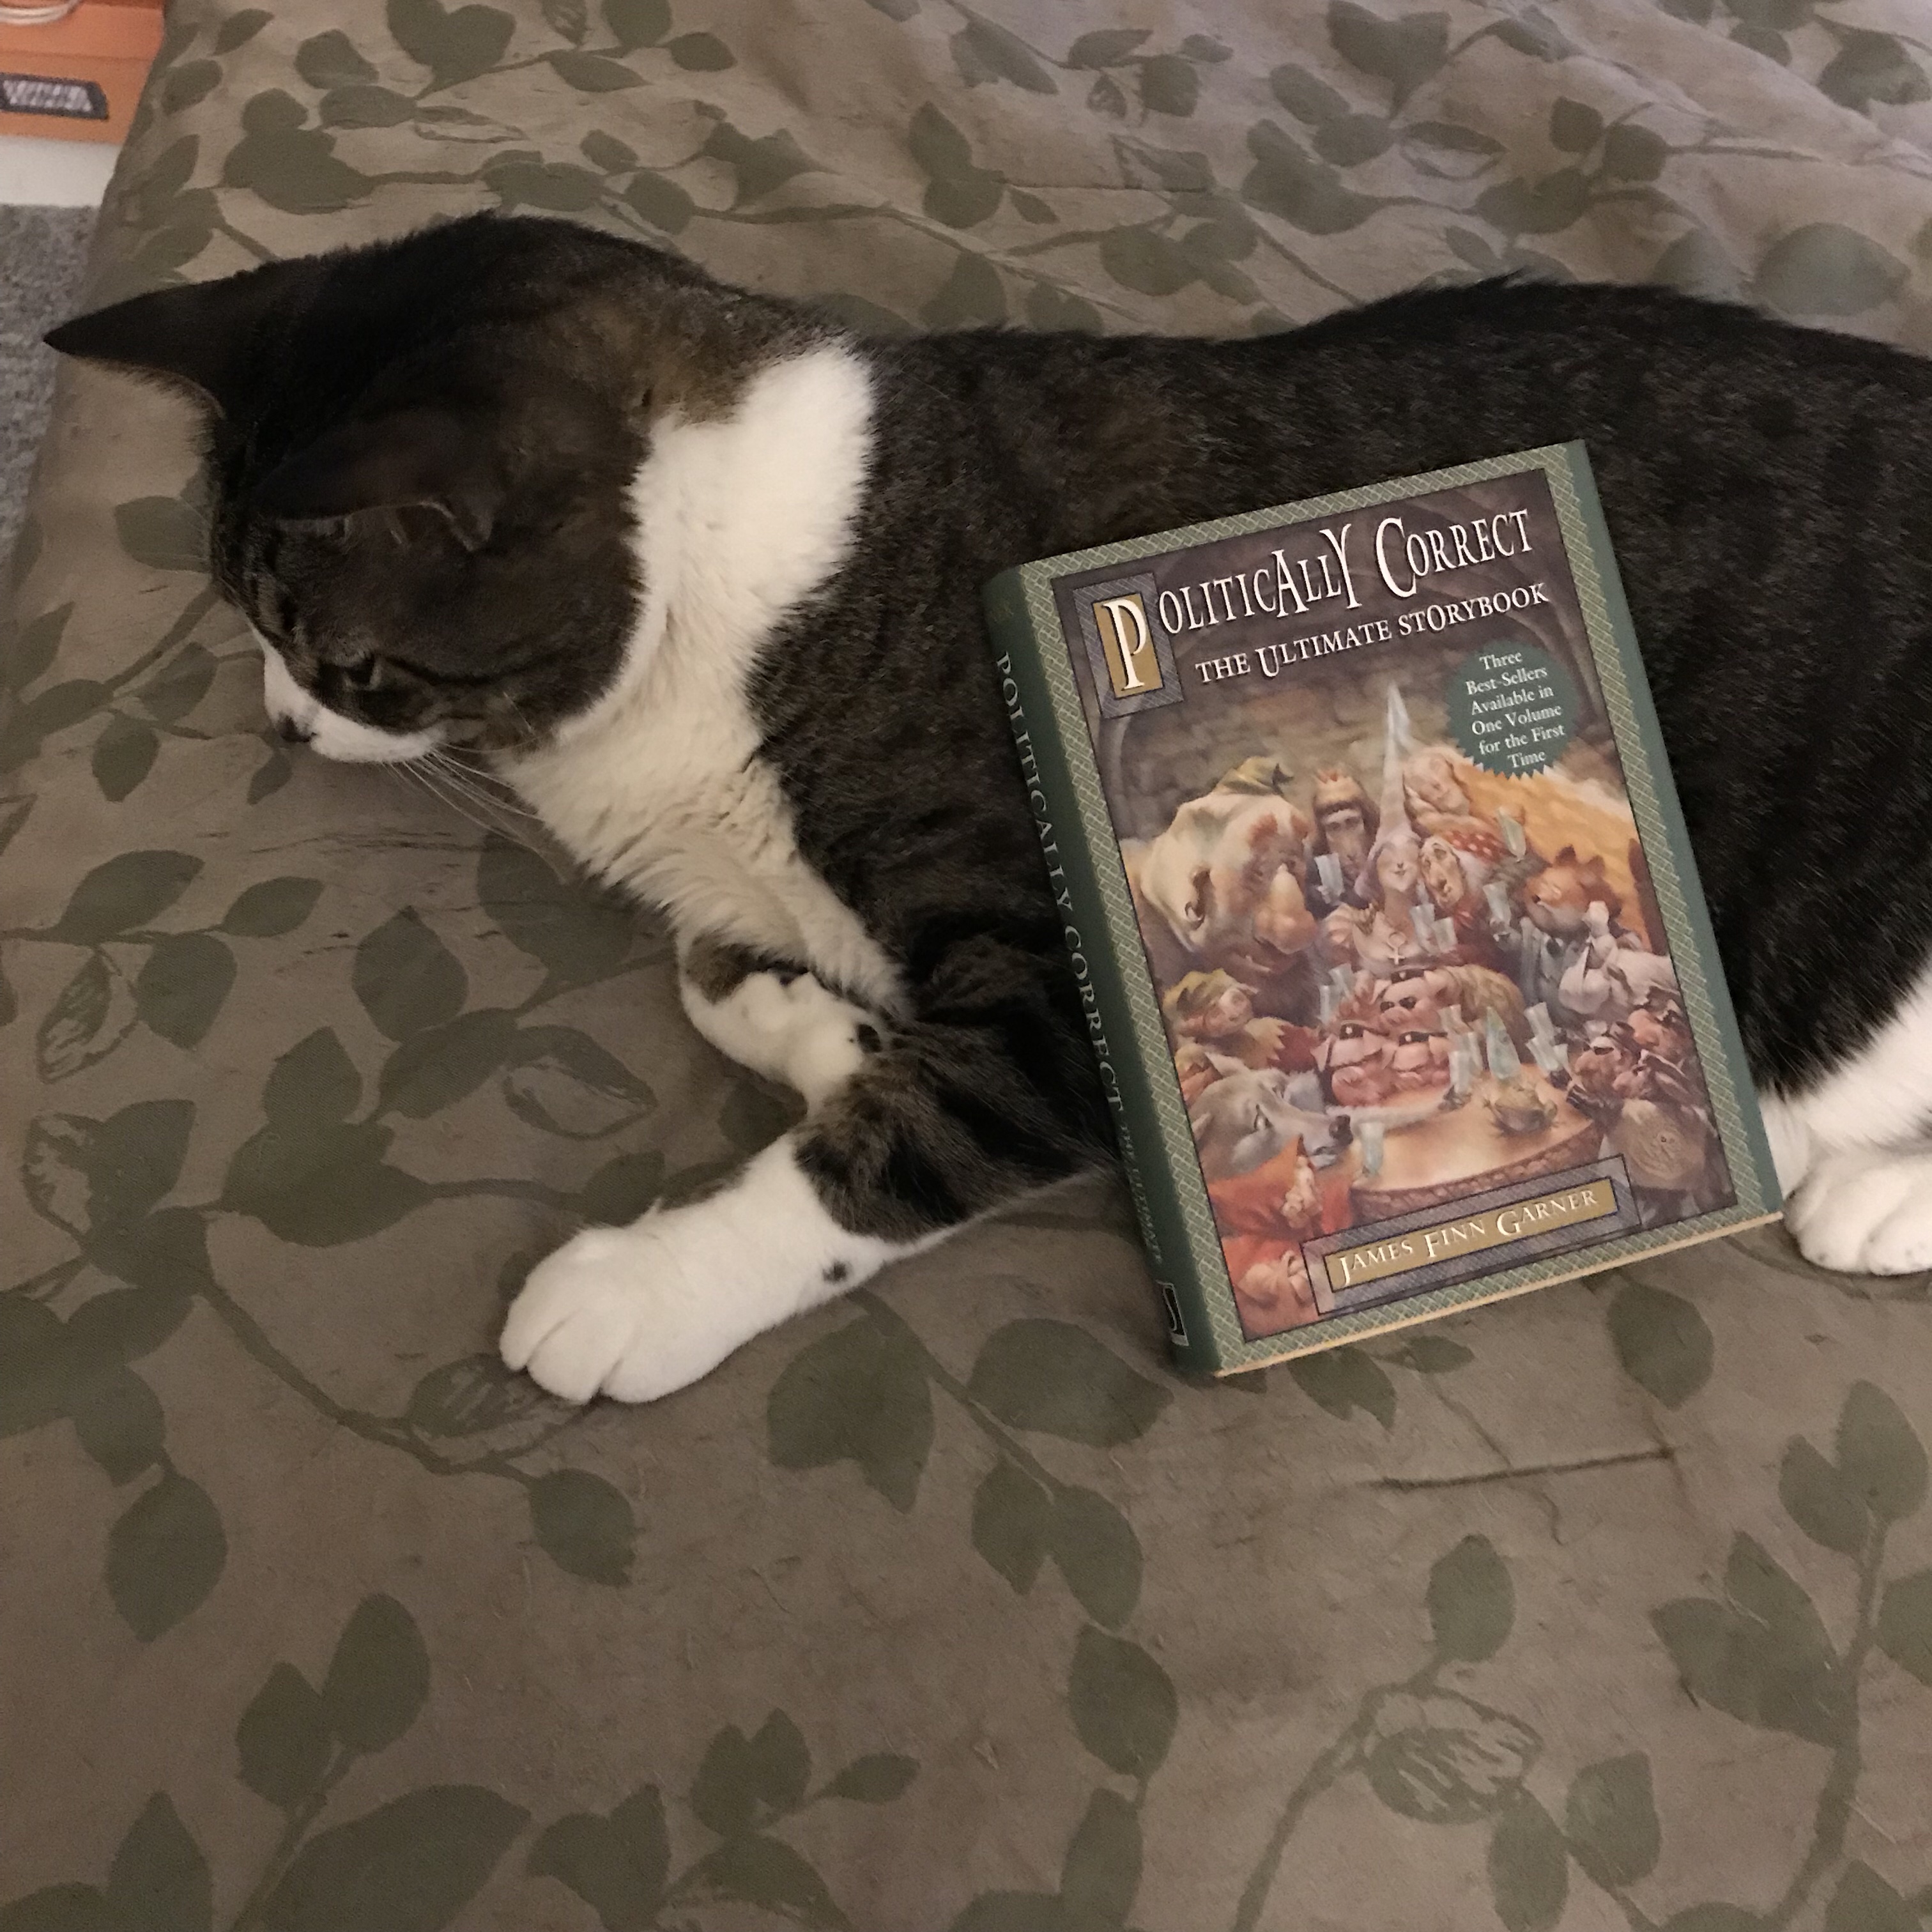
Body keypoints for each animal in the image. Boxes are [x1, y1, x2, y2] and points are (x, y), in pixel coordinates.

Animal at [44, 213, 1932, 1403]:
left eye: (335, 654)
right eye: (261, 635)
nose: (277, 720)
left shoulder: (1066, 984)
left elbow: (886, 1155)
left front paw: (638, 1292)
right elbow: (744, 993)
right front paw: (819, 1024)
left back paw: (1856, 1194)